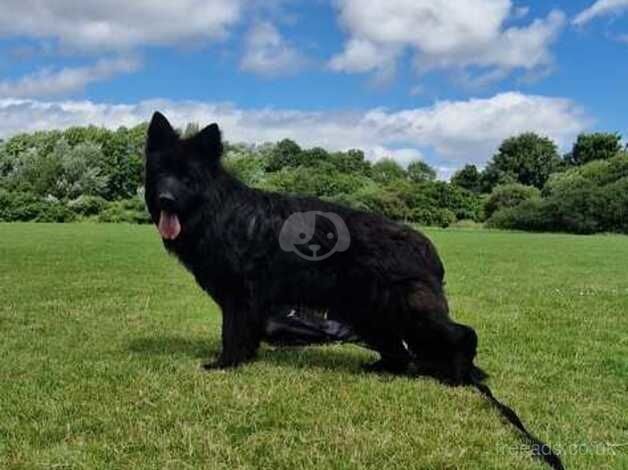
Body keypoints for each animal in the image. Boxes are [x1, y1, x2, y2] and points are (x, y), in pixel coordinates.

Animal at [146, 112, 480, 384]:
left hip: (404, 312)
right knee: (399, 350)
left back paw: (459, 376)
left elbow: (232, 333)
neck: (216, 209)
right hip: (370, 313)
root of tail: (424, 246)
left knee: (463, 335)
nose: (165, 200)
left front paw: (225, 364)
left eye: (187, 177)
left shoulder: (239, 297)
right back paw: (384, 369)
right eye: (161, 172)